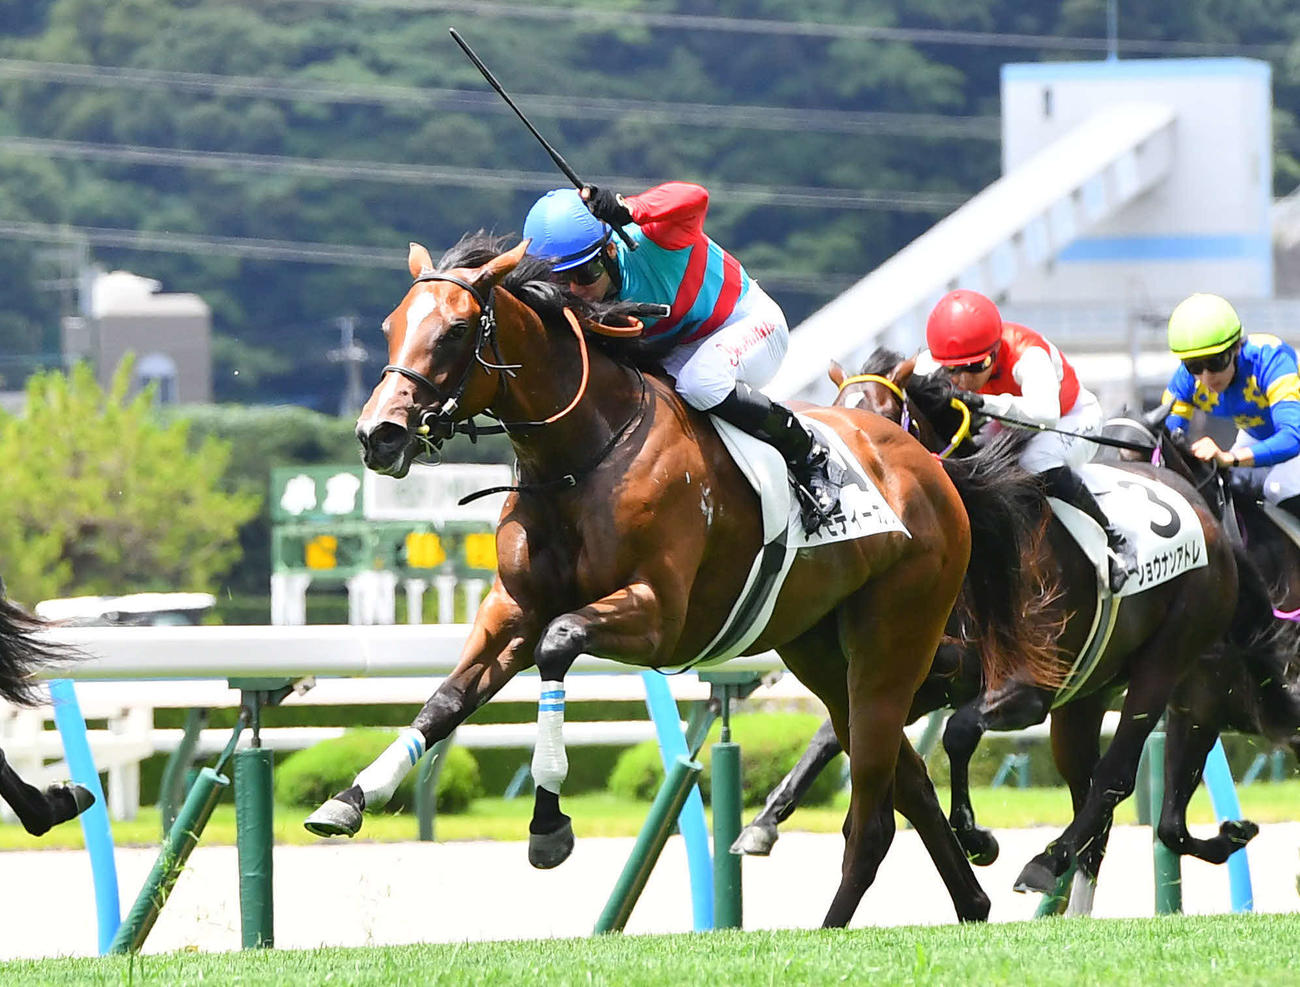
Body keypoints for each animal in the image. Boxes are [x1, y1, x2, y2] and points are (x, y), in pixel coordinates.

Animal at [302, 233, 1059, 927]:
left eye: (456, 329)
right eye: (392, 325)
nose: (379, 434)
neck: (582, 454)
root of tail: (935, 470)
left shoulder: (659, 618)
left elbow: (559, 641)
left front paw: (548, 826)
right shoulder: (511, 608)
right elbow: (446, 699)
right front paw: (350, 796)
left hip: (891, 636)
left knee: (874, 813)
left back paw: (836, 922)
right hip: (820, 650)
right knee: (908, 782)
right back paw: (971, 896)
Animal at [736, 347, 1260, 910]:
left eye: (883, 415)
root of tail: (1204, 509)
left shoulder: (1028, 688)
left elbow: (960, 731)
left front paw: (974, 835)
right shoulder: (916, 670)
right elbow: (832, 735)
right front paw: (764, 822)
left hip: (1164, 660)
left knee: (1115, 777)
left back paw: (1046, 863)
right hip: (1086, 695)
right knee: (1092, 793)